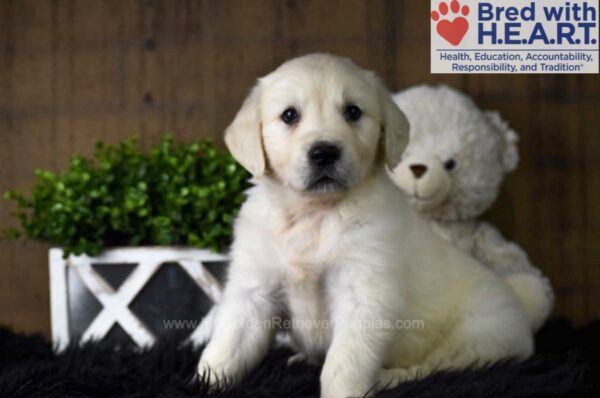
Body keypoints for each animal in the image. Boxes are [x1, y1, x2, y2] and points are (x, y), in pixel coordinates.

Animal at [199, 53, 532, 398]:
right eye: (289, 115)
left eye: (353, 112)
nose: (324, 153)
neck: (315, 211)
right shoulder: (254, 286)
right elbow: (229, 343)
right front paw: (208, 380)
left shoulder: (364, 291)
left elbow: (345, 361)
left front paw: (343, 391)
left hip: (477, 339)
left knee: (432, 368)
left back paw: (387, 378)